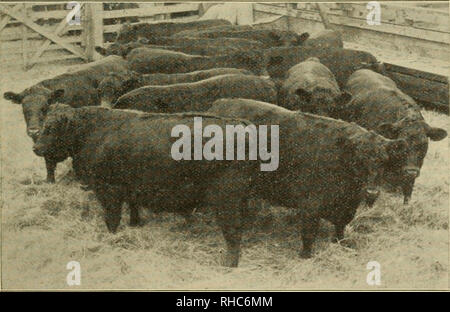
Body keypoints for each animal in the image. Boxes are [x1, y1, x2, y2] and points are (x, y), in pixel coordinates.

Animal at [207, 98, 408, 260]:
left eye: (383, 161)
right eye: (358, 159)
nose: (371, 191)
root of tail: (219, 104)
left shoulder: (347, 207)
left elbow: (341, 226)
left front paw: (340, 242)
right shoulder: (311, 206)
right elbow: (308, 234)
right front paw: (305, 256)